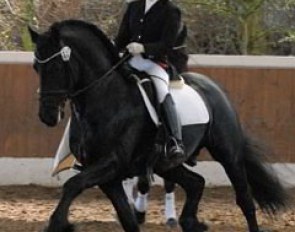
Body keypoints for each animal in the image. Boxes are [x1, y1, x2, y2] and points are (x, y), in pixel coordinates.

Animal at [29, 20, 290, 232]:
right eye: (35, 67)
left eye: (56, 67)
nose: (47, 116)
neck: (106, 98)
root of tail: (213, 88)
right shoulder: (107, 177)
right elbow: (127, 220)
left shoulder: (112, 164)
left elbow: (72, 185)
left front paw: (58, 224)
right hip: (166, 164)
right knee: (196, 183)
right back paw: (190, 222)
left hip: (228, 154)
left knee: (244, 200)